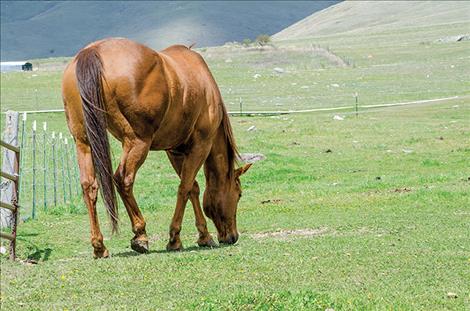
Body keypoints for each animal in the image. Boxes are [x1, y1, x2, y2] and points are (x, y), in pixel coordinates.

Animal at [63, 38, 253, 258]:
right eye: (239, 194)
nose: (232, 237)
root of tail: (92, 51)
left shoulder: (175, 151)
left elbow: (193, 188)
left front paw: (203, 236)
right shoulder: (200, 146)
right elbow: (185, 187)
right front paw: (175, 238)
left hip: (83, 142)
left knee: (89, 186)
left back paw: (99, 246)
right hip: (137, 142)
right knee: (123, 179)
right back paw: (140, 235)